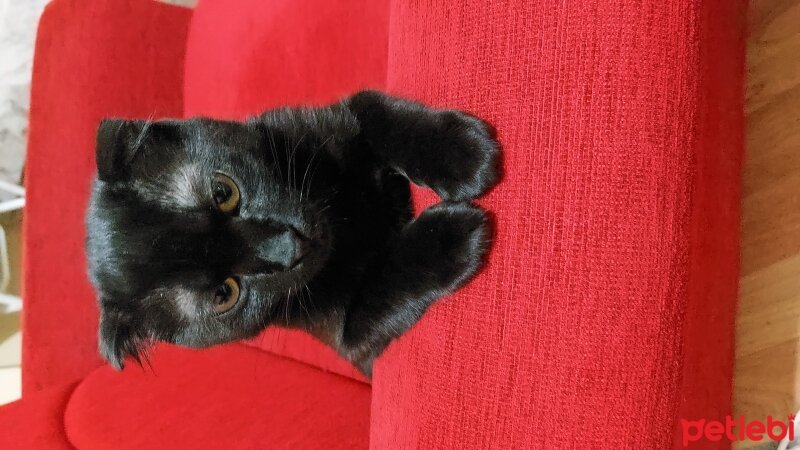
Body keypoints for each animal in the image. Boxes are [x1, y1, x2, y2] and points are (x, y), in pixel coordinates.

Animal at [87, 89, 500, 374]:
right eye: (225, 294)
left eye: (224, 193)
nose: (290, 248)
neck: (339, 216)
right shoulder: (352, 336)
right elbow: (391, 277)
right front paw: (452, 235)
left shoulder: (339, 117)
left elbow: (378, 113)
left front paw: (466, 154)